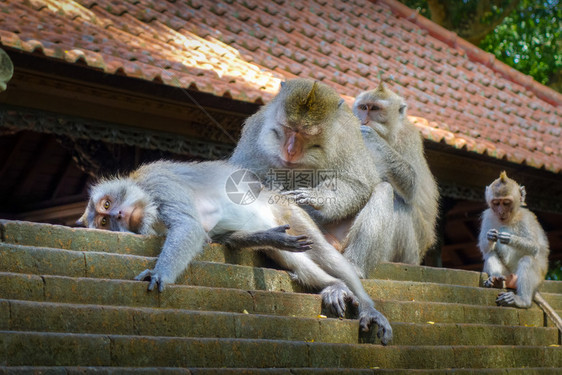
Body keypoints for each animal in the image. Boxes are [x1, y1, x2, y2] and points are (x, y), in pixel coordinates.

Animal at [76, 160, 392, 346]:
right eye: (104, 221)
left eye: (107, 205)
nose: (117, 214)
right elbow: (211, 236)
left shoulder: (158, 181)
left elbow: (188, 225)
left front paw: (159, 273)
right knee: (287, 254)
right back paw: (331, 285)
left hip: (287, 210)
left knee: (325, 253)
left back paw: (366, 305)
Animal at [228, 79, 394, 280]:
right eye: (288, 128)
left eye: (306, 134)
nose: (290, 150)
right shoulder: (256, 127)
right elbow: (239, 173)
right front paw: (270, 184)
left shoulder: (347, 137)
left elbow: (358, 184)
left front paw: (317, 197)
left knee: (383, 189)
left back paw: (354, 268)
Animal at [350, 82, 438, 264]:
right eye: (363, 107)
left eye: (375, 108)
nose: (364, 120)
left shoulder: (408, 138)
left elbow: (412, 185)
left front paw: (372, 137)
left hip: (413, 251)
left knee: (400, 202)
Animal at [476, 172, 548, 310]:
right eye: (496, 203)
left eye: (506, 203)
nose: (501, 212)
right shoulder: (488, 215)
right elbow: (484, 248)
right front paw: (490, 236)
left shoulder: (525, 219)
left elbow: (534, 247)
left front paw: (509, 238)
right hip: (507, 274)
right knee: (491, 253)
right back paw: (496, 279)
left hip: (535, 280)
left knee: (527, 260)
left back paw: (522, 300)